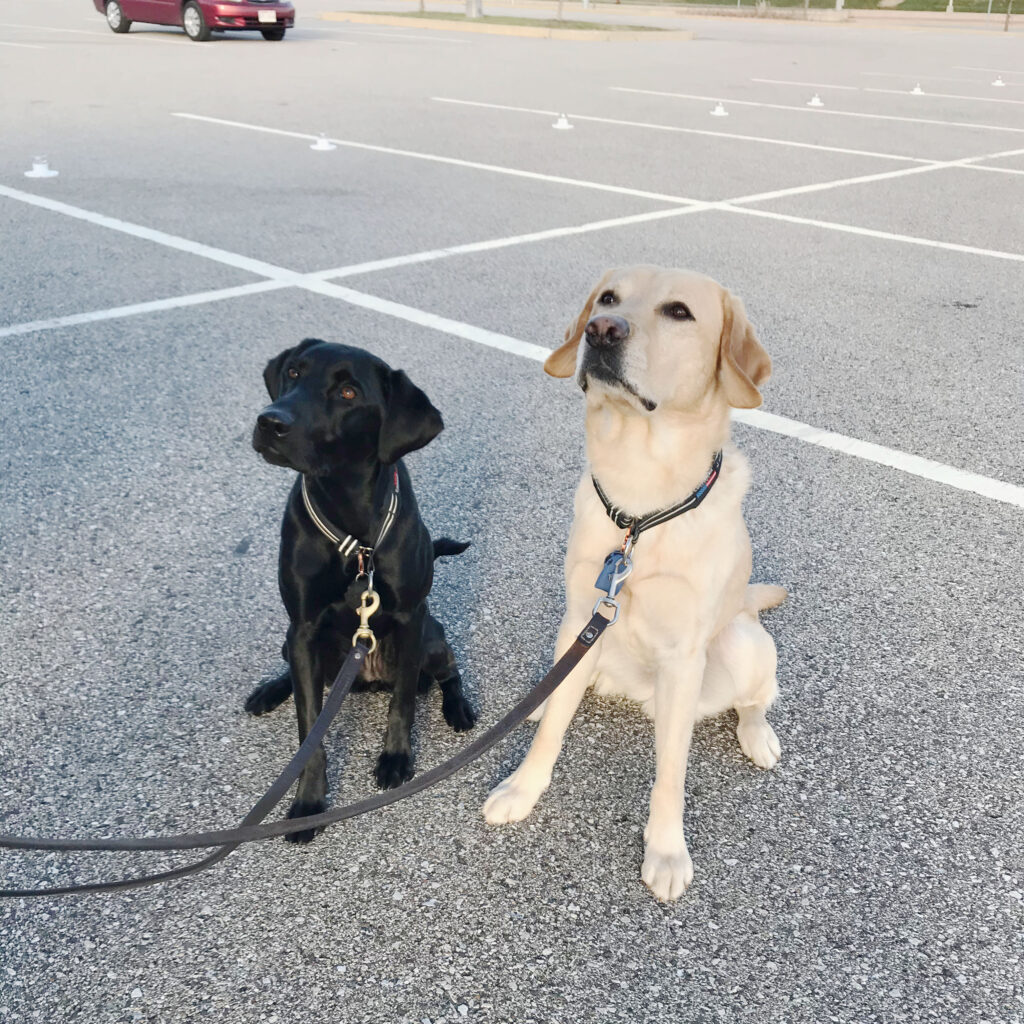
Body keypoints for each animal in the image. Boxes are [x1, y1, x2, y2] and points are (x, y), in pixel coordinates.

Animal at [247, 337, 475, 839]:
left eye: (348, 393)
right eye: (293, 373)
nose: (271, 421)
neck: (350, 521)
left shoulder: (411, 620)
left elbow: (403, 701)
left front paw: (396, 760)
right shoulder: (302, 628)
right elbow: (309, 729)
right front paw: (308, 803)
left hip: (432, 637)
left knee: (448, 674)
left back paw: (459, 708)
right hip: (293, 644)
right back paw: (271, 690)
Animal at [483, 268, 786, 901]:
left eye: (679, 312)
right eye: (607, 299)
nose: (601, 330)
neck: (639, 509)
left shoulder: (682, 656)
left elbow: (670, 773)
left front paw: (666, 851)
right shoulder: (581, 616)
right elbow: (552, 730)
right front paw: (523, 788)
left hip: (744, 646)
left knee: (755, 700)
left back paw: (758, 735)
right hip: (585, 647)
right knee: (558, 693)